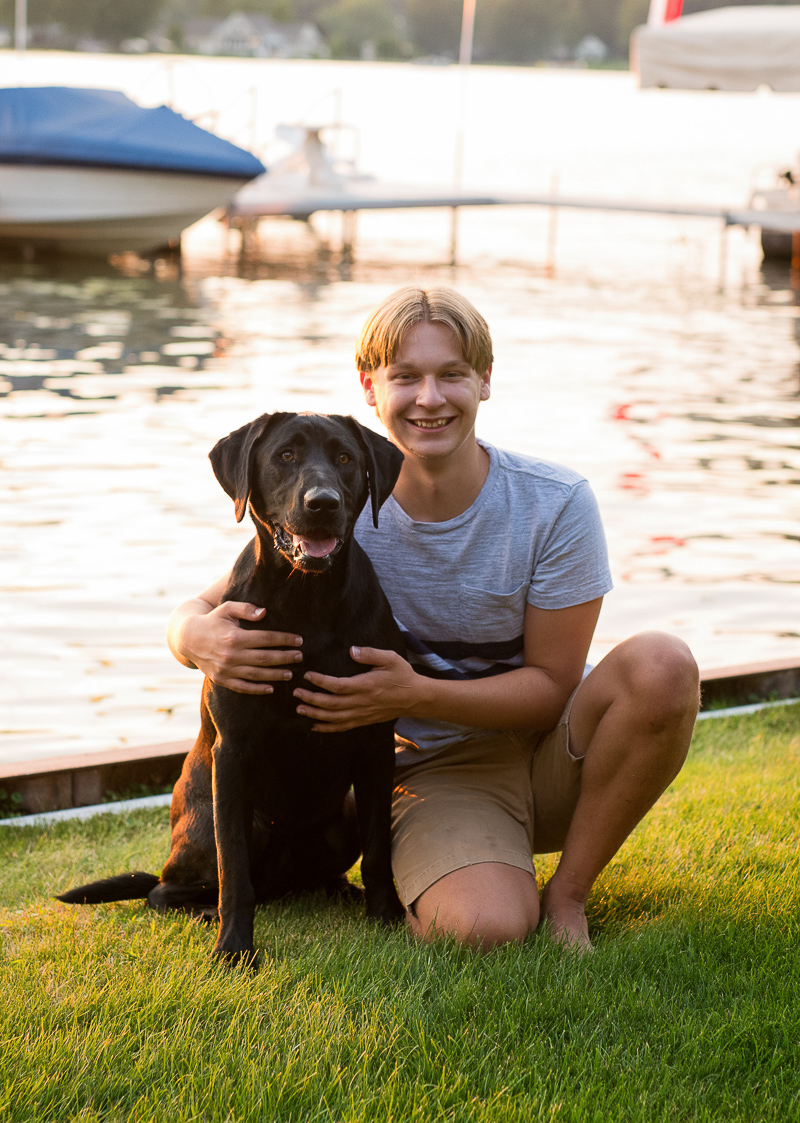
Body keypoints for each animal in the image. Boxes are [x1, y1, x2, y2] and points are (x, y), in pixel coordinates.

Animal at [57, 413, 406, 965]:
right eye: (285, 455)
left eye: (345, 457)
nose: (322, 503)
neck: (306, 601)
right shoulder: (235, 753)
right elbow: (234, 874)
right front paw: (234, 949)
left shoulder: (374, 742)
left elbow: (379, 849)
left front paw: (387, 918)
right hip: (212, 827)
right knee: (167, 890)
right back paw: (203, 911)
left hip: (340, 819)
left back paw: (339, 892)